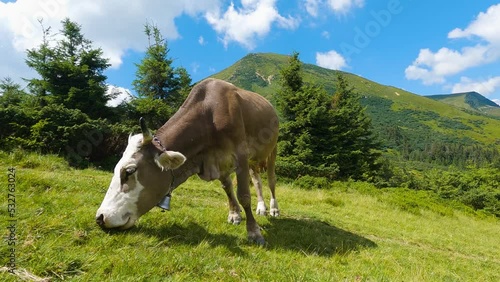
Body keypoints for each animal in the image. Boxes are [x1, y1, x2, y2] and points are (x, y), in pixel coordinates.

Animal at [95, 77, 280, 245]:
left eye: (129, 171)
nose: (100, 217)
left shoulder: (240, 156)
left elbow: (244, 195)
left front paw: (254, 233)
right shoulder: (219, 163)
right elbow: (227, 188)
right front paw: (234, 214)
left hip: (273, 149)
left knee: (271, 181)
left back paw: (273, 209)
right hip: (254, 160)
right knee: (257, 181)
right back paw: (261, 207)